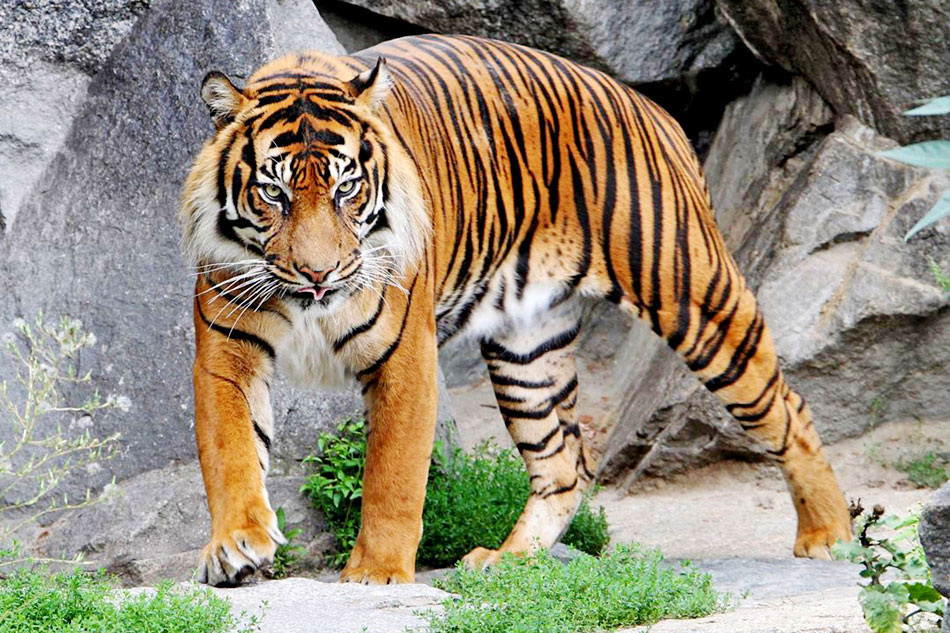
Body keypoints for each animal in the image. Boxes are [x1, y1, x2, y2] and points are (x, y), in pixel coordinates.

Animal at [180, 34, 856, 584]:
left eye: (347, 188)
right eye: (274, 192)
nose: (318, 274)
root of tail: (649, 105)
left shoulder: (405, 358)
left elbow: (393, 475)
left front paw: (375, 573)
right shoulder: (227, 351)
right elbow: (231, 452)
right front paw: (236, 546)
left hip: (694, 298)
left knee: (788, 408)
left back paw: (829, 536)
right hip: (527, 352)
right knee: (565, 462)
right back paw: (508, 560)